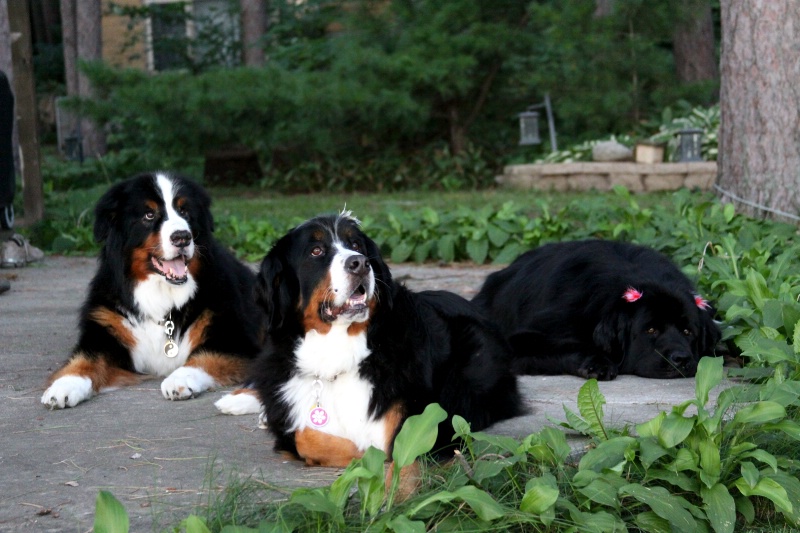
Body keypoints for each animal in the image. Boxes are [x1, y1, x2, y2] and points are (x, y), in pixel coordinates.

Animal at [40, 170, 264, 408]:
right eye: (149, 215)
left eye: (184, 211)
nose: (182, 237)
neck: (162, 292)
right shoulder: (105, 331)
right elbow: (85, 360)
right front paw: (64, 385)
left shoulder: (234, 340)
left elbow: (204, 356)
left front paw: (179, 379)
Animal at [216, 212, 524, 466]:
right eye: (316, 251)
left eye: (357, 245)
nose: (359, 263)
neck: (337, 350)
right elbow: (303, 435)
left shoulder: (429, 425)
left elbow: (374, 446)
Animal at [472, 239, 720, 380]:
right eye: (651, 330)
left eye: (688, 332)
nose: (681, 358)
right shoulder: (524, 338)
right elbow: (568, 344)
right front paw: (597, 363)